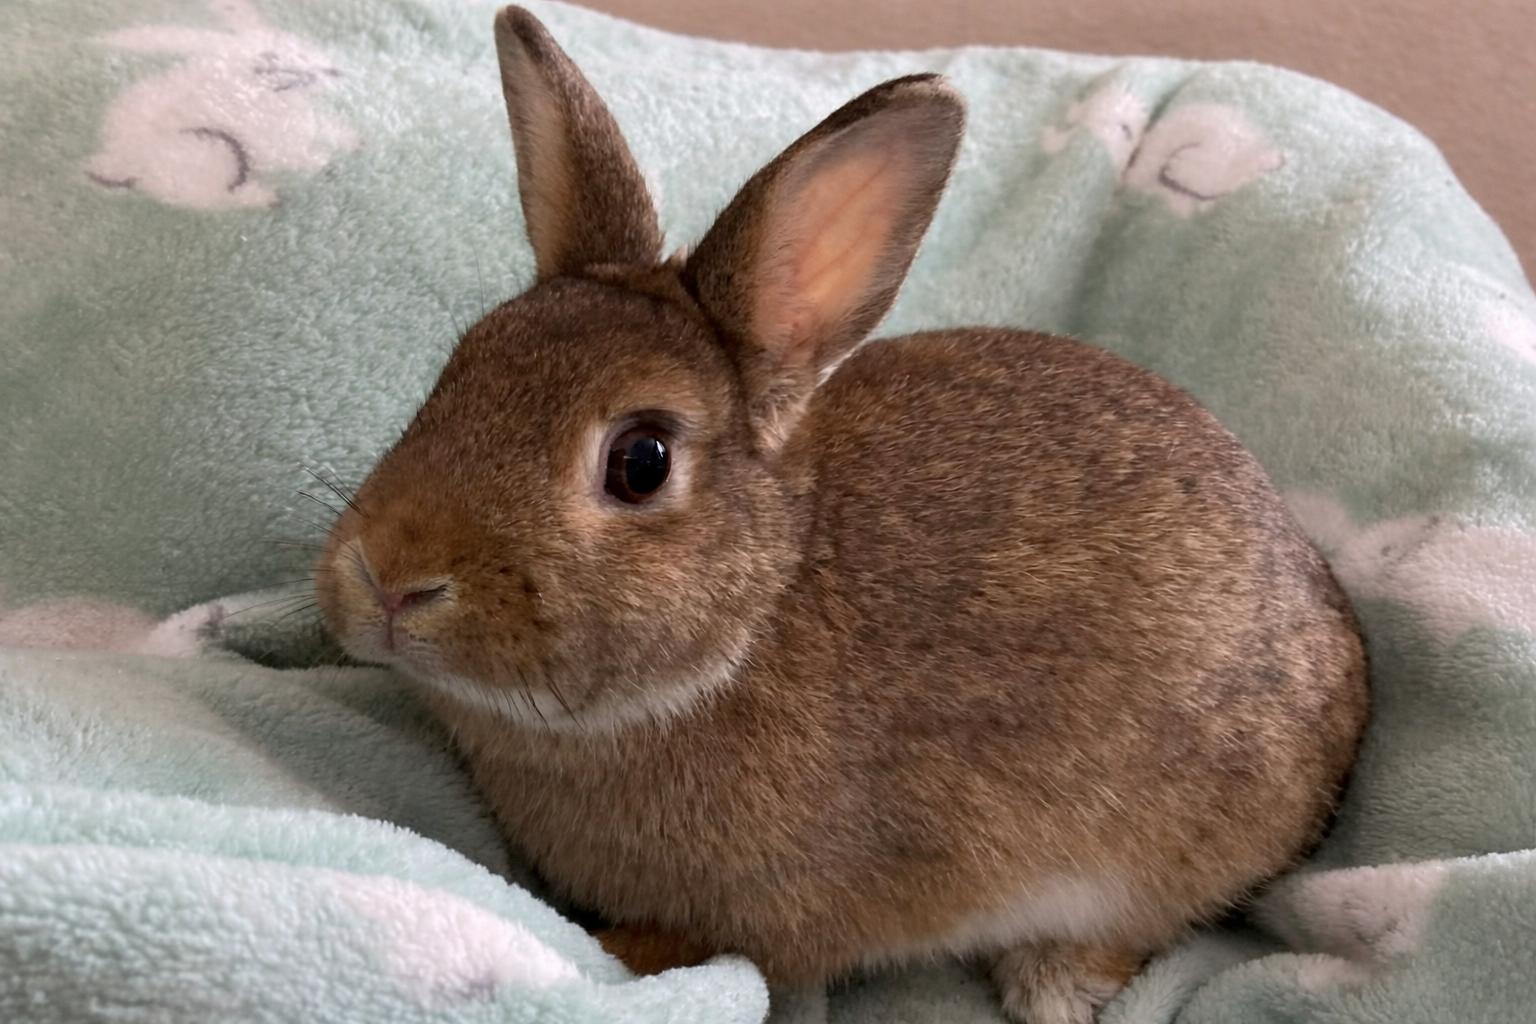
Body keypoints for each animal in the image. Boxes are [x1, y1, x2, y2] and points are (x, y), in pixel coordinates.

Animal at [86, 0, 356, 210]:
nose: (333, 71)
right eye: (273, 57)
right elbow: (313, 144)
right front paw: (334, 153)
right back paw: (268, 197)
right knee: (222, 195)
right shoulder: (281, 131)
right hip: (210, 153)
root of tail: (127, 165)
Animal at [315, 8, 1369, 1022]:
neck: (753, 612)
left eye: (641, 462)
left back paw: (1053, 984)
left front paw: (611, 949)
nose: (389, 579)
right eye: (456, 372)